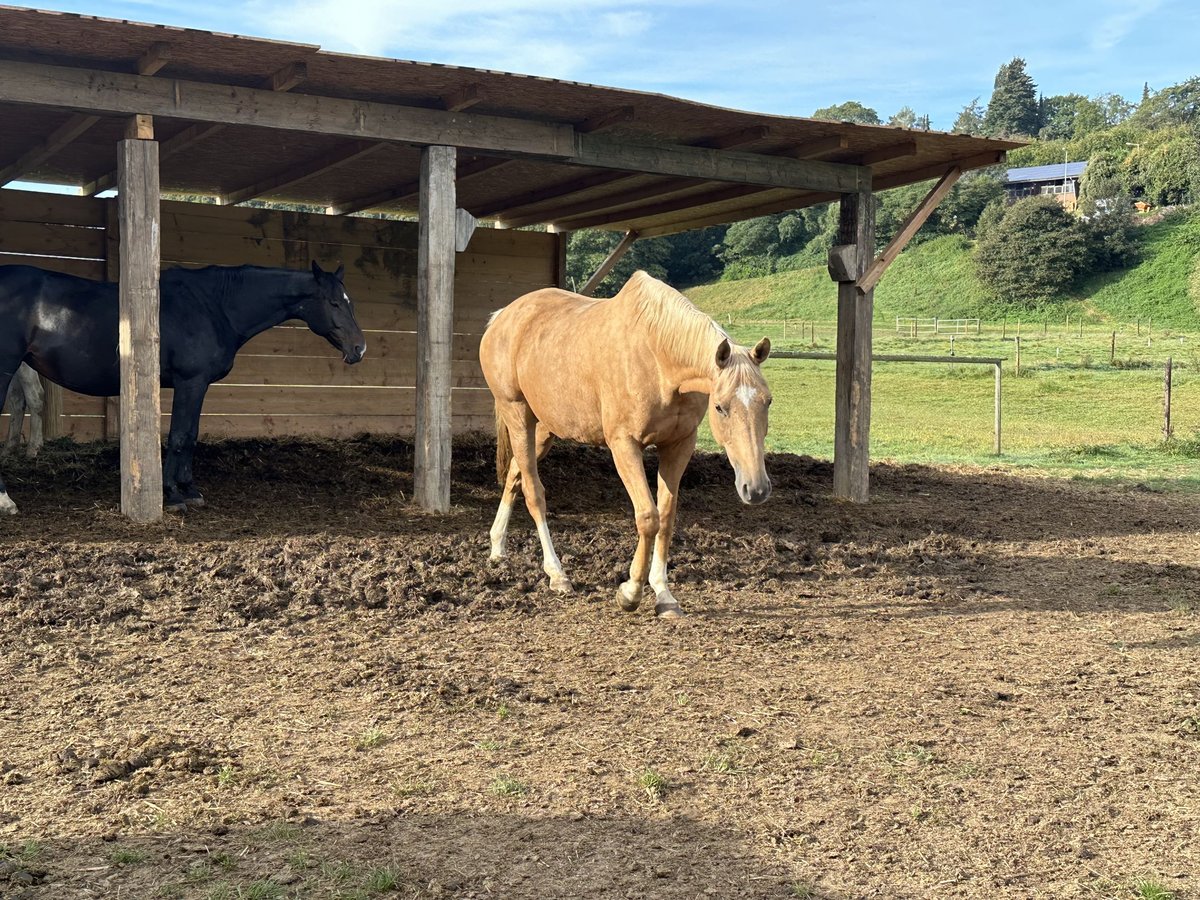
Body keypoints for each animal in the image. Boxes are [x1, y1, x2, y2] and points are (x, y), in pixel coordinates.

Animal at [0, 260, 364, 513]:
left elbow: (190, 435)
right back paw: (6, 501)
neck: (213, 306)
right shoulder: (191, 382)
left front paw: (188, 489)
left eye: (350, 302)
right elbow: (178, 437)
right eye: (333, 302)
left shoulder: (196, 386)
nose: (359, 348)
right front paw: (174, 495)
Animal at [477, 270, 768, 619]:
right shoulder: (624, 445)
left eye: (767, 401)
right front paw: (630, 592)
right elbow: (648, 517)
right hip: (518, 416)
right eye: (721, 407)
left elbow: (666, 517)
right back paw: (557, 575)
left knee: (514, 475)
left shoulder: (679, 444)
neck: (658, 358)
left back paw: (498, 549)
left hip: (545, 429)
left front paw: (664, 595)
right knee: (534, 493)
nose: (756, 488)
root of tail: (501, 318)